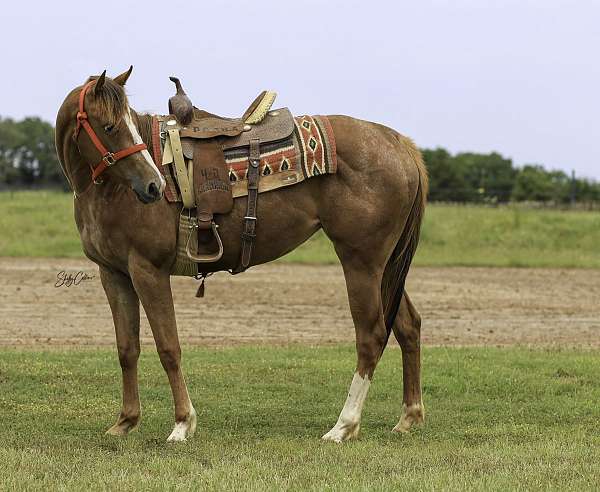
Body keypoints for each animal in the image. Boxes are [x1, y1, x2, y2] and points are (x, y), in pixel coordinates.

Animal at [55, 67, 426, 444]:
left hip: (361, 262)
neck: (111, 193)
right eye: (110, 127)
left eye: (125, 123)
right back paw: (408, 417)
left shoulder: (149, 271)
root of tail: (398, 142)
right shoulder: (114, 274)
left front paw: (182, 423)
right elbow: (127, 349)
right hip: (386, 268)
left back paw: (343, 426)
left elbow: (168, 347)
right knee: (407, 326)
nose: (153, 185)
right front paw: (125, 421)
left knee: (371, 335)